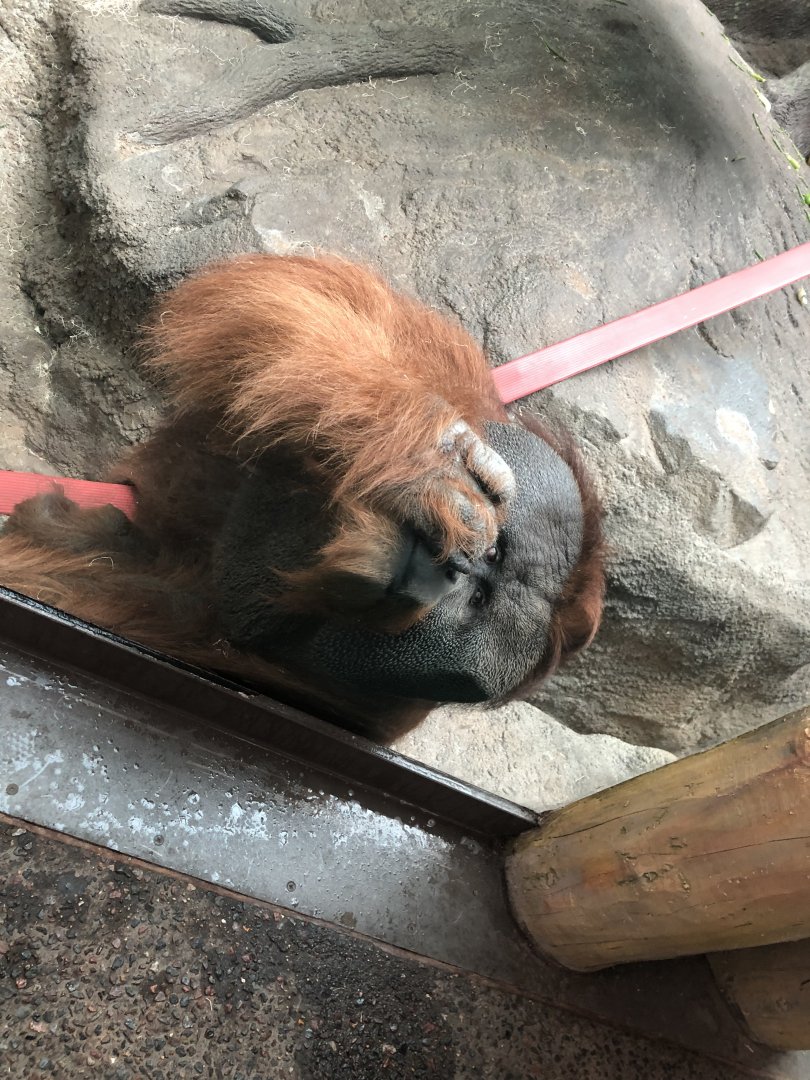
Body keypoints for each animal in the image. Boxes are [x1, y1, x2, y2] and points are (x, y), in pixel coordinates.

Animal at [0, 254, 604, 741]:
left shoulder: (365, 713)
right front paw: (431, 464)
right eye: (494, 553)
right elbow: (294, 301)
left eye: (478, 598)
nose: (458, 566)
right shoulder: (459, 377)